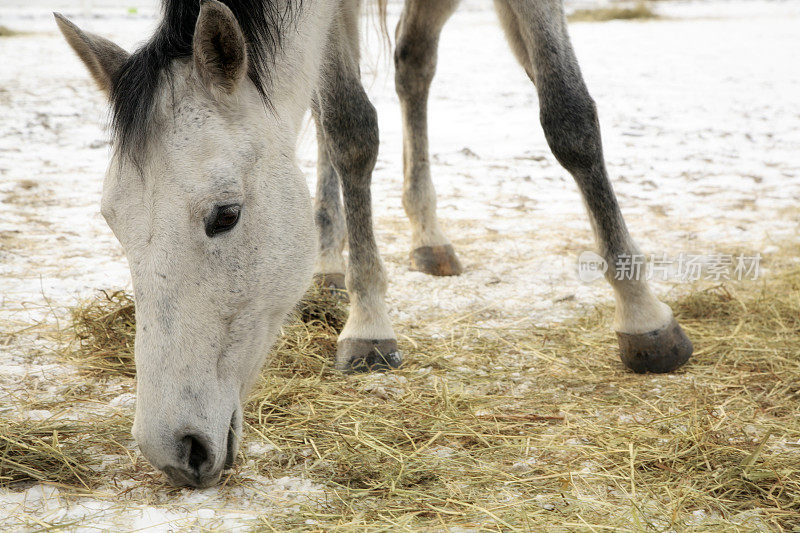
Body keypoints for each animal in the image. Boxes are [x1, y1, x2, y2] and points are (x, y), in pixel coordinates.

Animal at [57, 0, 692, 486]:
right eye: (112, 221)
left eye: (226, 215)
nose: (171, 448)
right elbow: (348, 129)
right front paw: (367, 323)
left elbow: (569, 117)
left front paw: (645, 318)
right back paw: (333, 262)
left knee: (415, 63)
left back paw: (429, 239)